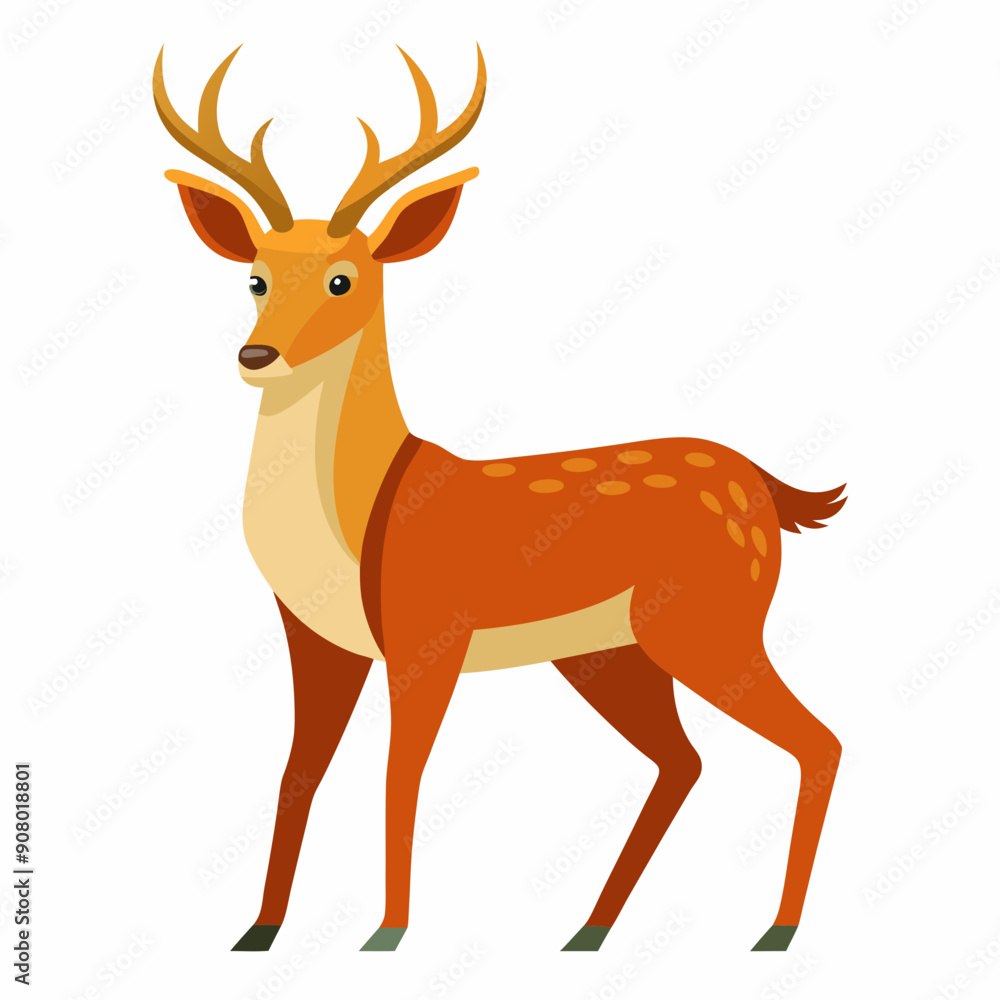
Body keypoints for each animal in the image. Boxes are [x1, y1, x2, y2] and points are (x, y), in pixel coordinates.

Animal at [153, 43, 846, 955]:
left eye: (343, 279)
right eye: (255, 280)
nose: (256, 355)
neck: (357, 519)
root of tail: (769, 488)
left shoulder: (428, 632)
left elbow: (400, 772)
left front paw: (387, 932)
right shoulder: (316, 638)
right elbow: (298, 771)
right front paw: (259, 930)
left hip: (708, 618)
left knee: (817, 741)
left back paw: (778, 929)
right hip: (610, 651)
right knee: (684, 759)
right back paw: (589, 929)